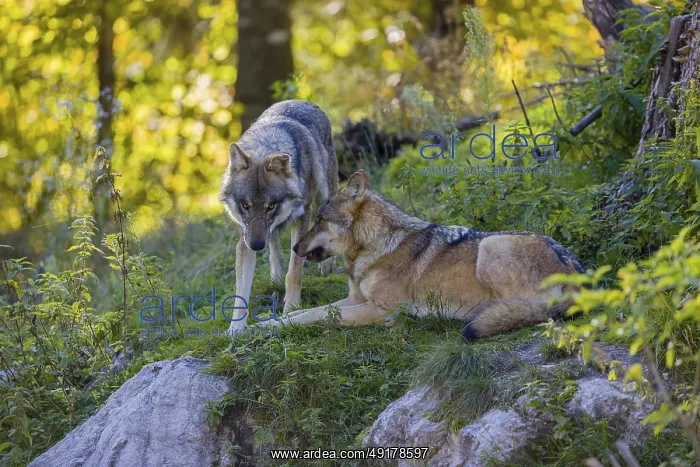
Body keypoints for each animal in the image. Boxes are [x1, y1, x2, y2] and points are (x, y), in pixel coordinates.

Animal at [219, 100, 338, 332]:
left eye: (271, 205)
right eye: (245, 205)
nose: (256, 246)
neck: (266, 146)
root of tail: (304, 102)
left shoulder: (303, 215)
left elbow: (295, 271)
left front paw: (291, 308)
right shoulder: (245, 236)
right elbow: (241, 289)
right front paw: (235, 329)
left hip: (325, 194)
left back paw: (326, 266)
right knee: (274, 247)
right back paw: (274, 278)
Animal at [264, 169, 584, 340]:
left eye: (320, 219)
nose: (295, 248)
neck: (374, 248)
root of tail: (578, 275)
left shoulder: (383, 310)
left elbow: (317, 315)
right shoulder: (355, 299)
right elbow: (306, 311)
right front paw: (264, 324)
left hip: (490, 248)